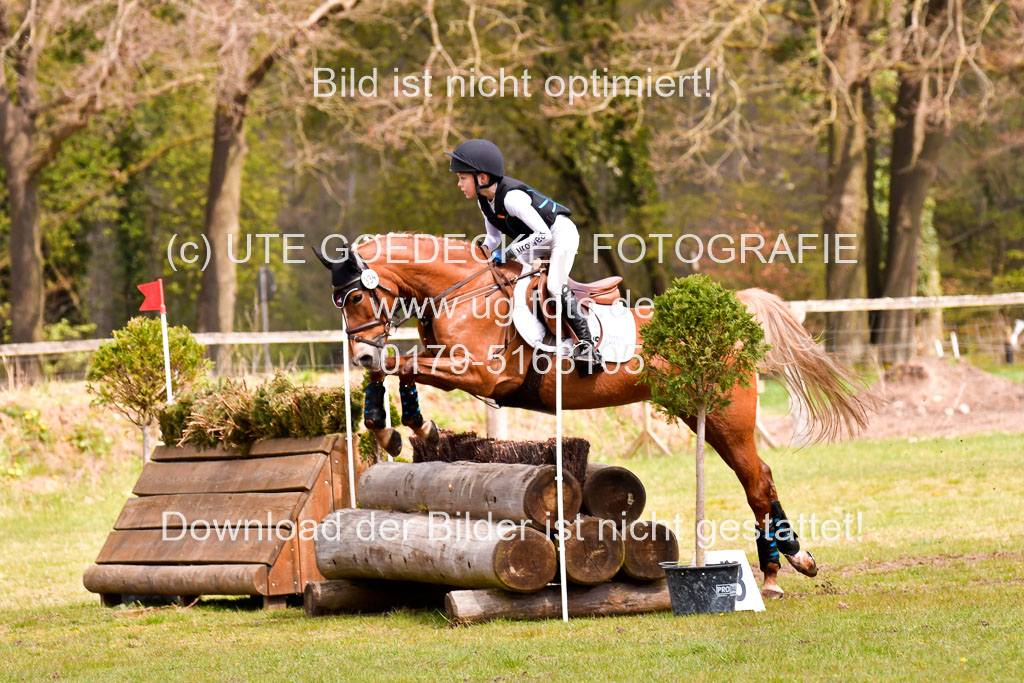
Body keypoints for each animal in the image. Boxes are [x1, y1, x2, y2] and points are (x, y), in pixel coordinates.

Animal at [311, 231, 872, 598]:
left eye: (355, 295)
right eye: (338, 299)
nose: (358, 353)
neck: (462, 291)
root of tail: (730, 319)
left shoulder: (481, 375)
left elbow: (402, 363)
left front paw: (403, 426)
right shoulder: (452, 367)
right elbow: (397, 366)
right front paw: (394, 427)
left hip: (728, 418)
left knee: (756, 481)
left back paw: (778, 572)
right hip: (704, 416)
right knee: (762, 476)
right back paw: (795, 559)